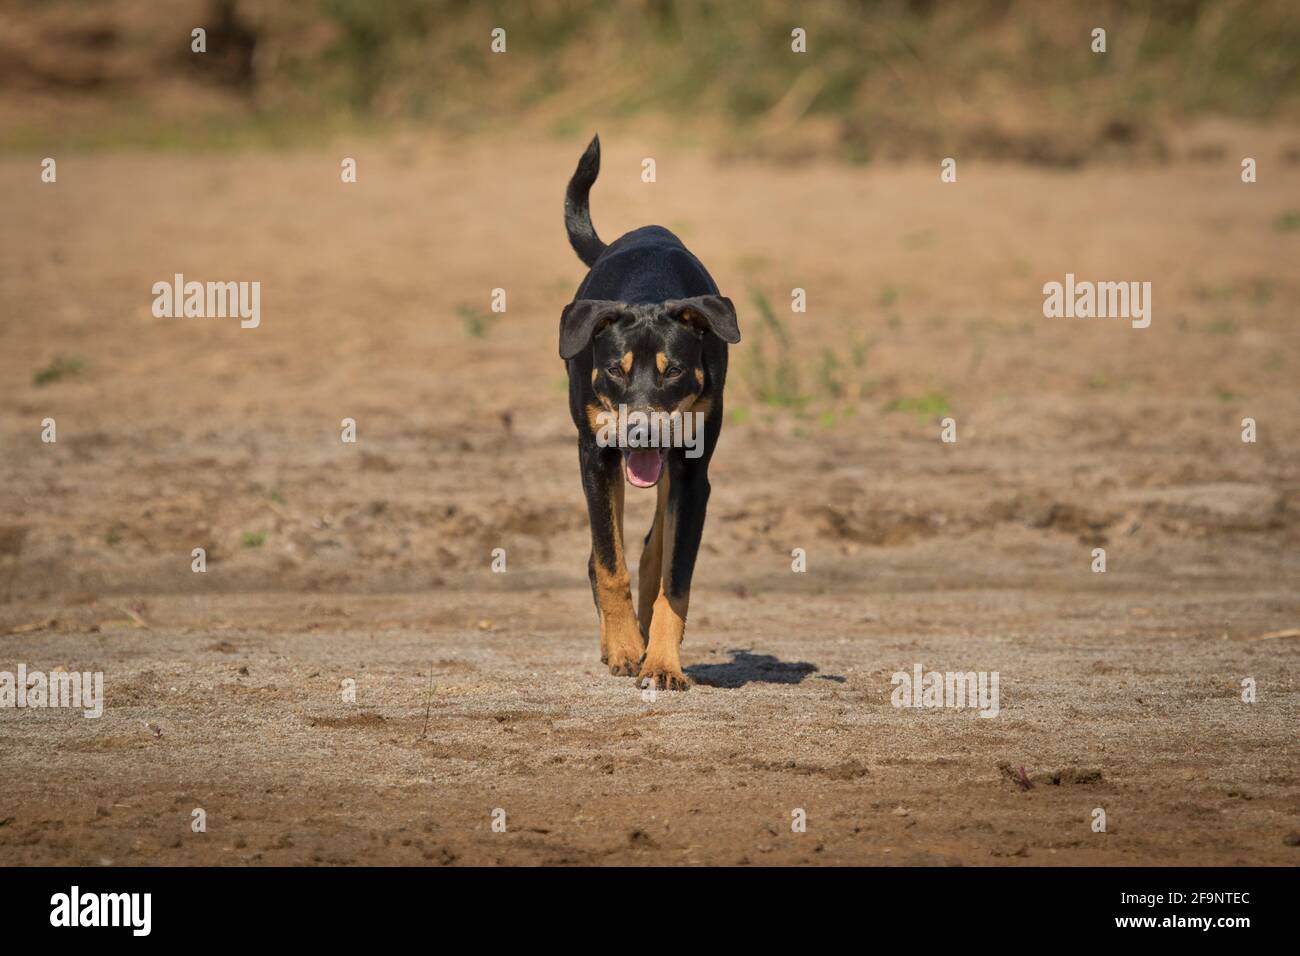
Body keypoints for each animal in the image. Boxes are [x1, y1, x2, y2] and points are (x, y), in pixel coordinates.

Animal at [561, 132, 743, 686]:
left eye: (673, 370)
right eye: (615, 369)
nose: (640, 433)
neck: (649, 289)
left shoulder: (693, 472)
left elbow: (674, 579)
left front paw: (661, 663)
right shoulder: (595, 456)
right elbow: (608, 562)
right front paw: (623, 648)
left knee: (653, 548)